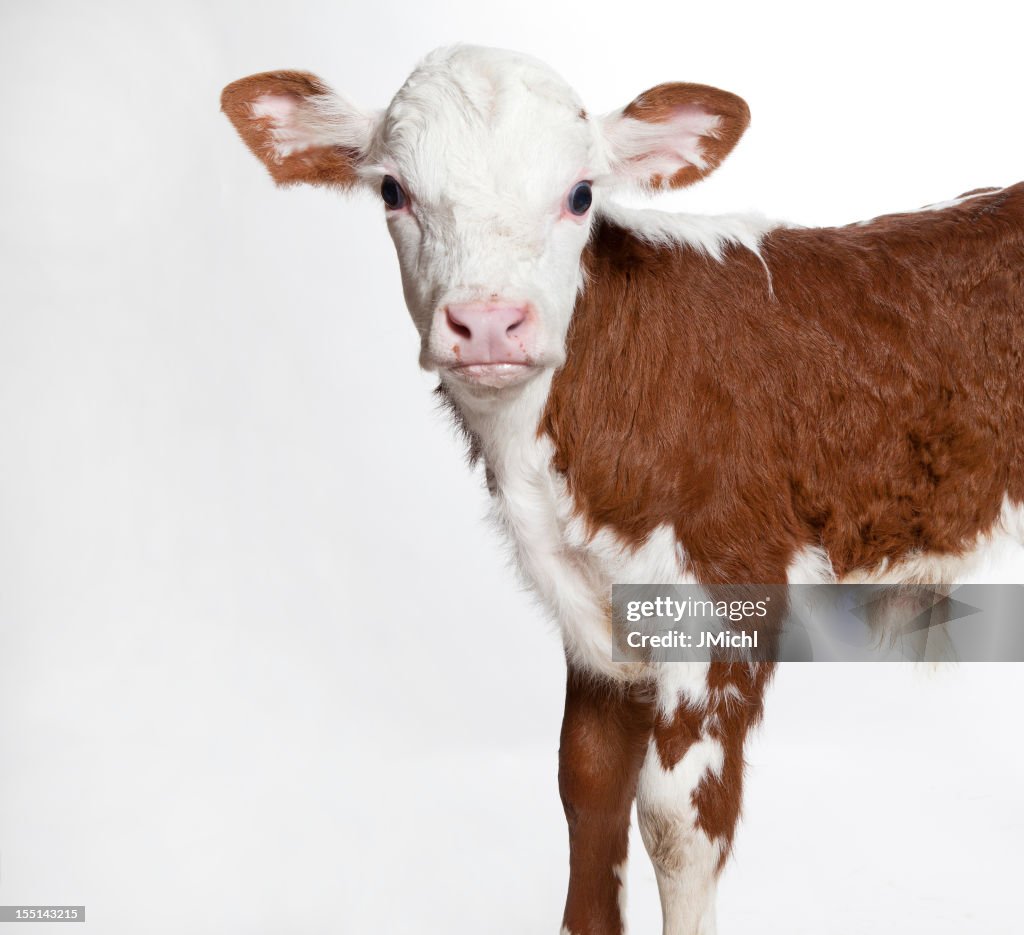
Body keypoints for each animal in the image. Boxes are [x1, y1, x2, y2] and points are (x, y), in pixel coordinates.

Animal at [220, 43, 1019, 933]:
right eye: (393, 189)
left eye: (580, 194)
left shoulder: (725, 590)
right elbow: (587, 784)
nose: (489, 323)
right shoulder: (596, 613)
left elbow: (676, 820)